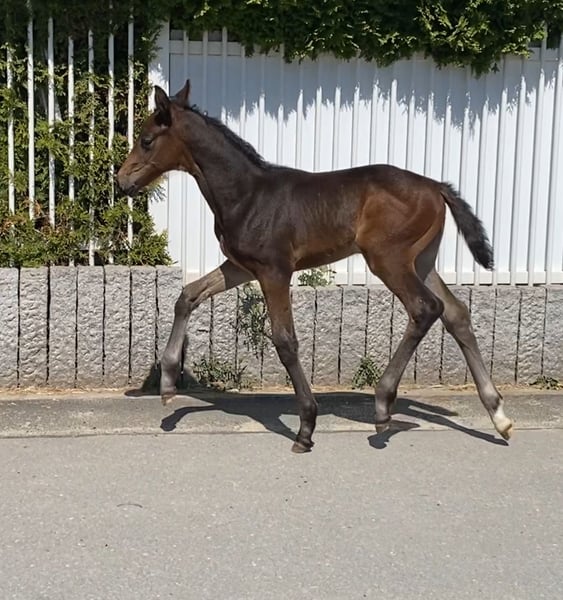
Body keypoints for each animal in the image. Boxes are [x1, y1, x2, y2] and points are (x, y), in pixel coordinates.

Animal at [117, 80, 513, 453]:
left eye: (146, 140)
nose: (121, 181)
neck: (247, 194)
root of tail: (436, 186)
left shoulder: (274, 270)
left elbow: (285, 340)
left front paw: (306, 426)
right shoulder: (241, 266)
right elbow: (188, 294)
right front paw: (168, 382)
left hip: (387, 258)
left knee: (425, 308)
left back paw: (383, 406)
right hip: (423, 260)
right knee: (456, 313)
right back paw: (498, 415)